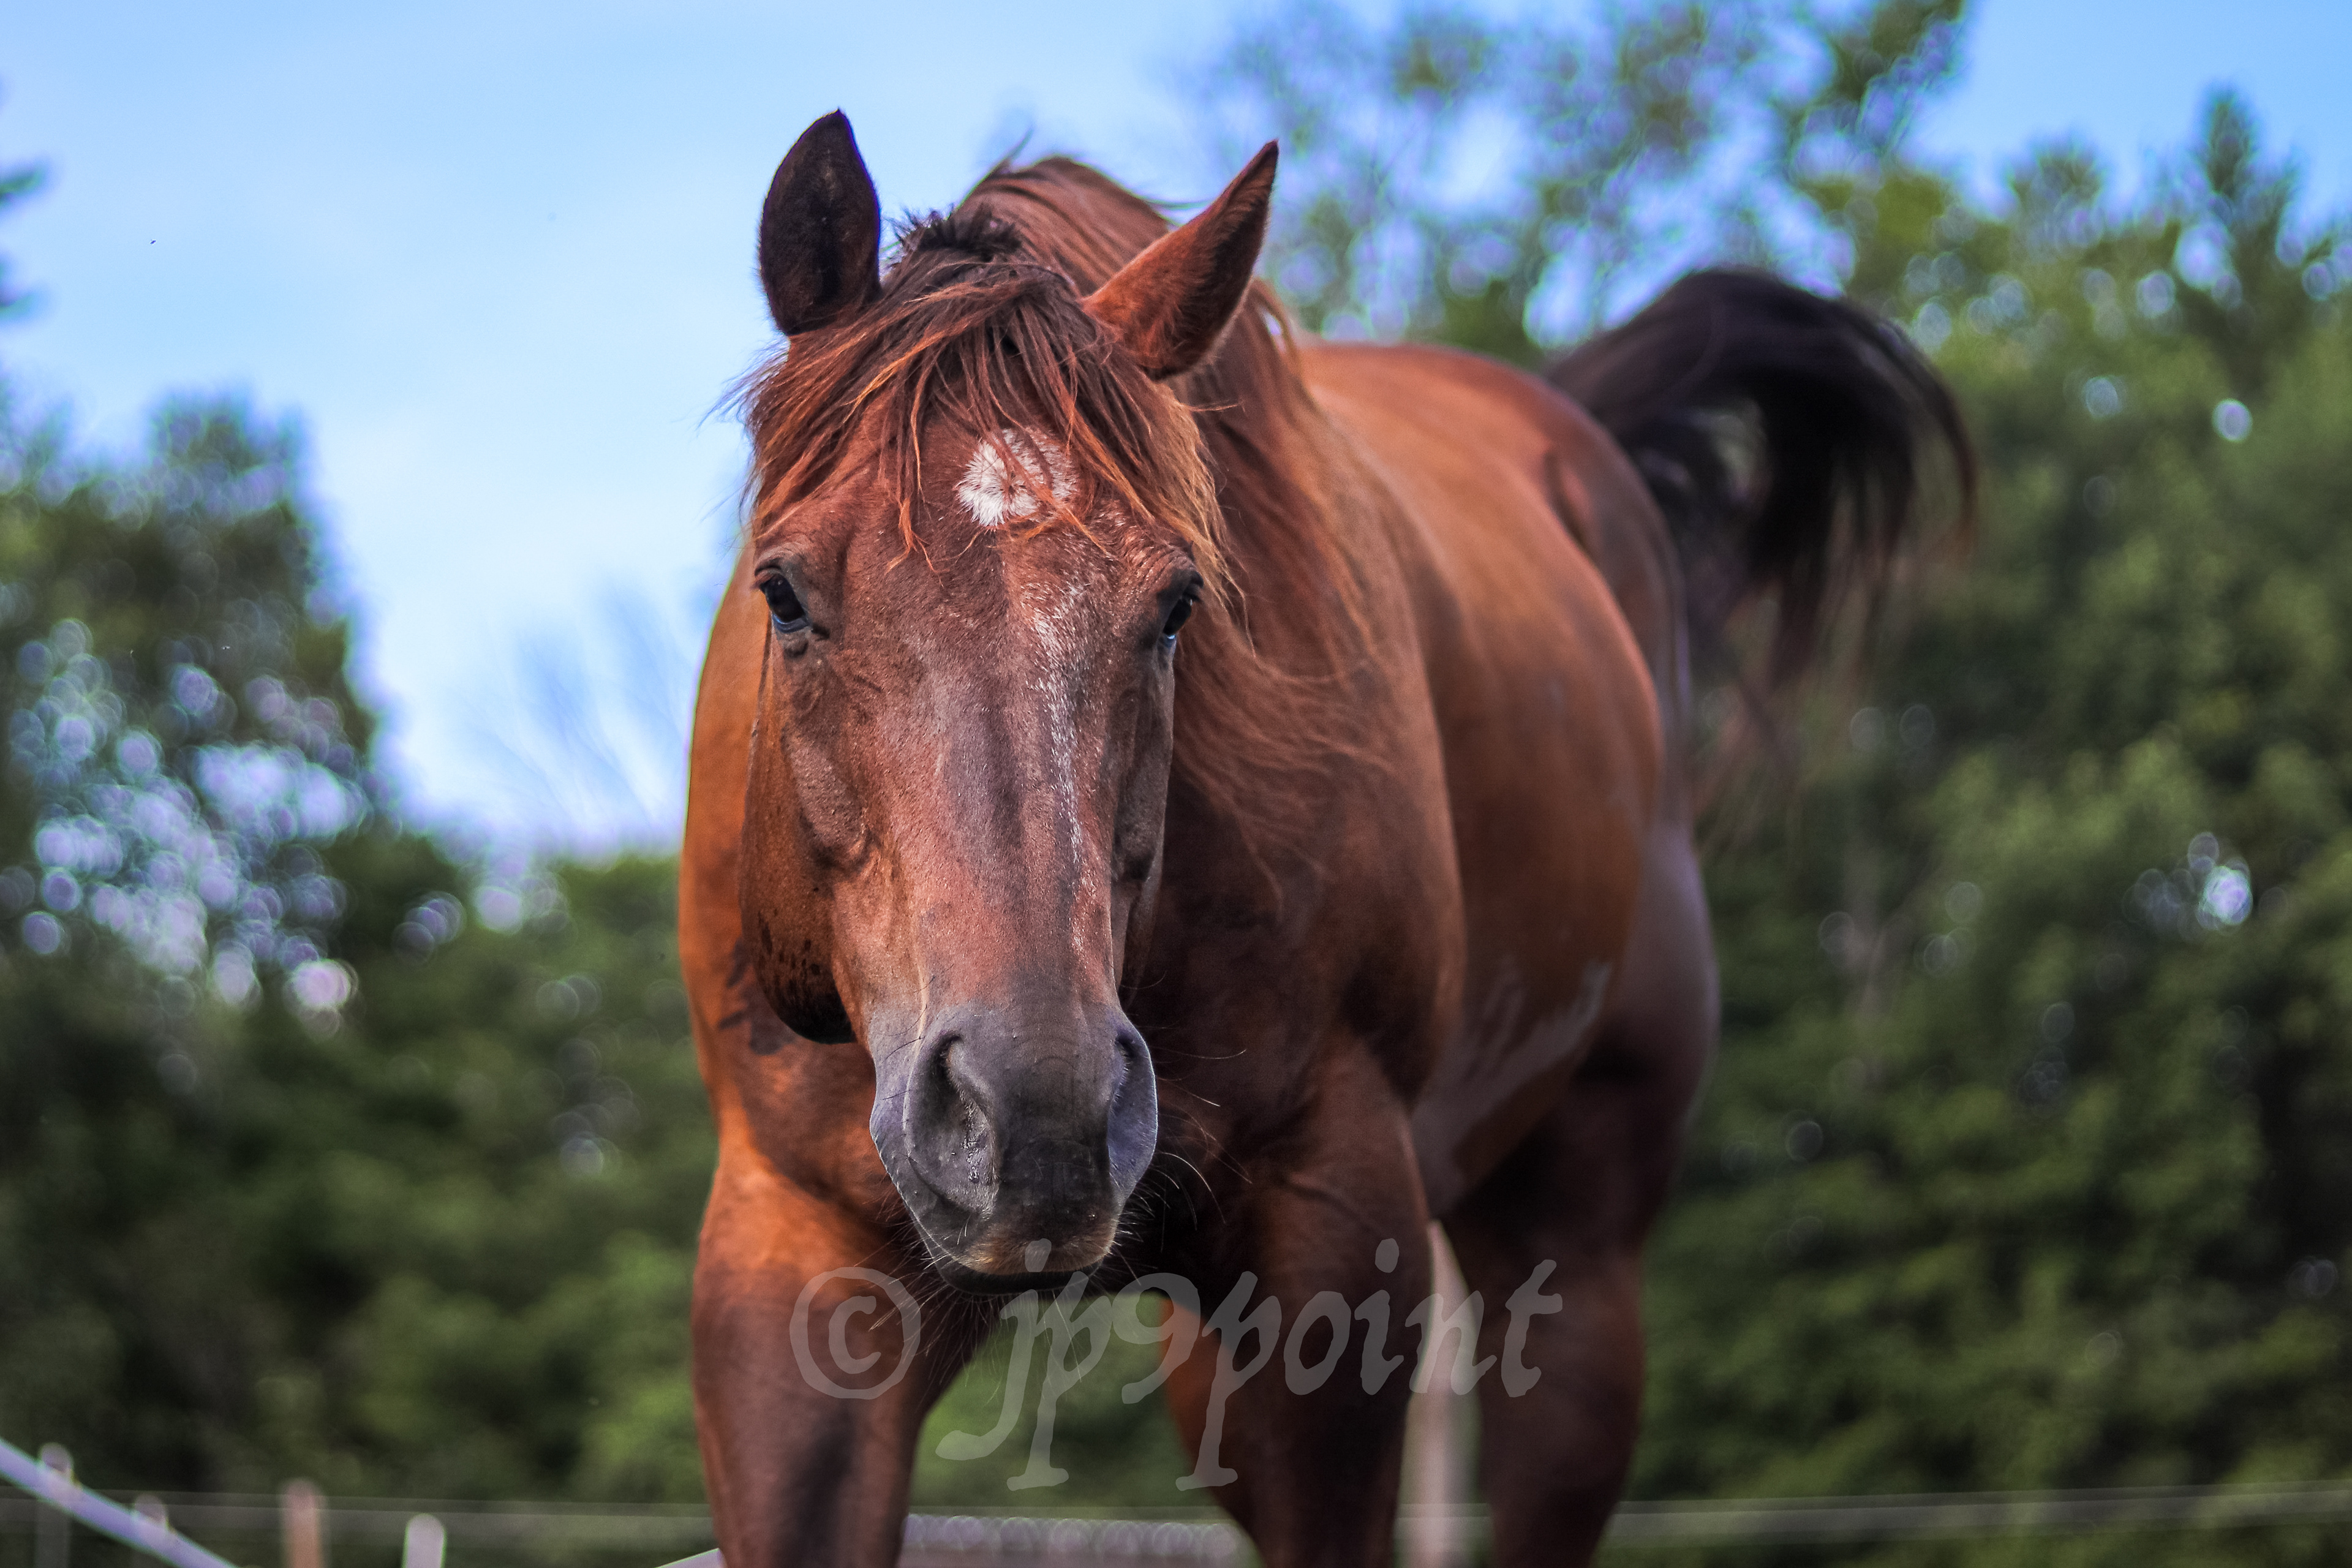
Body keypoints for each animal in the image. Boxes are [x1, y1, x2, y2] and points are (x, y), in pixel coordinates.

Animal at [679, 111, 1970, 1567]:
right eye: (786, 595)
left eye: (1177, 604)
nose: (1037, 1117)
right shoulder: (792, 1274)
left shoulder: (1334, 1255)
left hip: (1575, 1267)